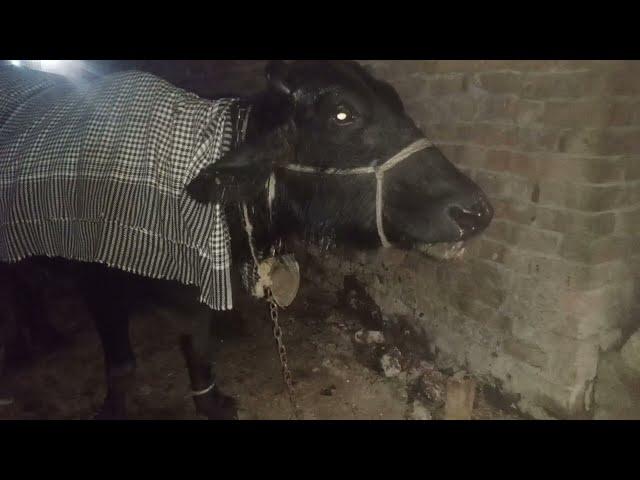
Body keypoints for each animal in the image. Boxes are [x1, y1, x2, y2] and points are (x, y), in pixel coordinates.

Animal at [0, 61, 496, 420]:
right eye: (342, 114)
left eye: (397, 103)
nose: (475, 212)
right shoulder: (96, 282)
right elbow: (123, 367)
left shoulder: (200, 280)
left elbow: (200, 344)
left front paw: (211, 403)